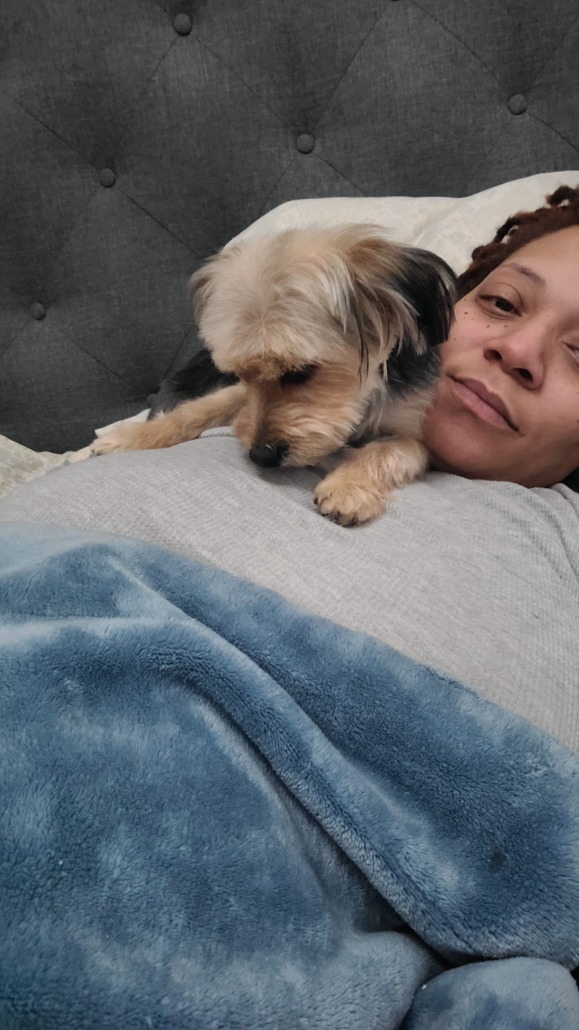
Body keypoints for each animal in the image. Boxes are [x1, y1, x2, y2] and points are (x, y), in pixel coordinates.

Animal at [89, 224, 456, 525]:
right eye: (238, 373)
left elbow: (384, 451)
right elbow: (195, 411)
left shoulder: (414, 434)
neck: (362, 395)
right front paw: (134, 436)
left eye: (301, 372)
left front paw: (348, 486)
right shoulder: (238, 393)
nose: (261, 456)